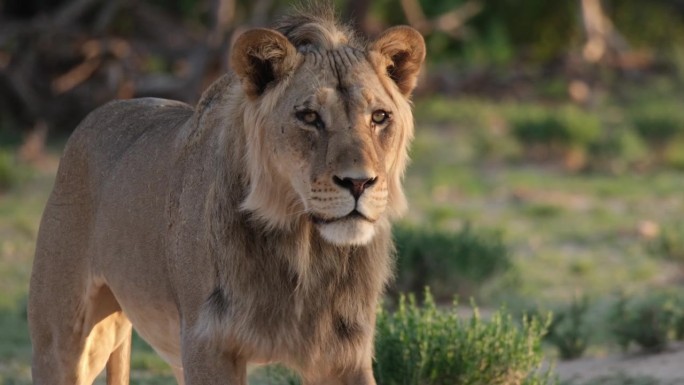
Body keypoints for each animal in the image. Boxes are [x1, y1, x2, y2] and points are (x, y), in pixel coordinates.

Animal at [29, 5, 424, 384]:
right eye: (310, 116)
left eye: (379, 117)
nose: (359, 183)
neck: (303, 251)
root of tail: (100, 111)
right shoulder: (206, 343)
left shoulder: (342, 351)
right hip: (67, 340)